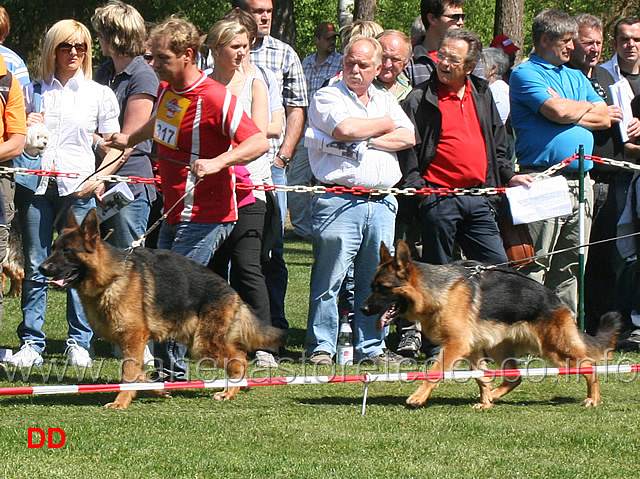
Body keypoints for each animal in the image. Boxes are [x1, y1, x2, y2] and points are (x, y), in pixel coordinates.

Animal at [39, 208, 284, 410]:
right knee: (239, 356)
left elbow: (128, 373)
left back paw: (228, 392)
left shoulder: (134, 338)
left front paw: (121, 402)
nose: (41, 268)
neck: (111, 277)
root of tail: (231, 290)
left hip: (203, 344)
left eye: (67, 251)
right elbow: (138, 374)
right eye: (53, 248)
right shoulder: (131, 343)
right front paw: (157, 389)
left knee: (238, 361)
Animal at [362, 242, 624, 410]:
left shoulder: (456, 345)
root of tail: (557, 301)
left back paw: (593, 399)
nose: (363, 309)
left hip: (554, 350)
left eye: (383, 288)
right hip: (501, 349)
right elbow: (482, 377)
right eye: (372, 286)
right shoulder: (471, 349)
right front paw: (486, 400)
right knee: (514, 377)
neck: (437, 291)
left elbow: (435, 371)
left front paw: (418, 397)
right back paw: (495, 397)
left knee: (589, 365)